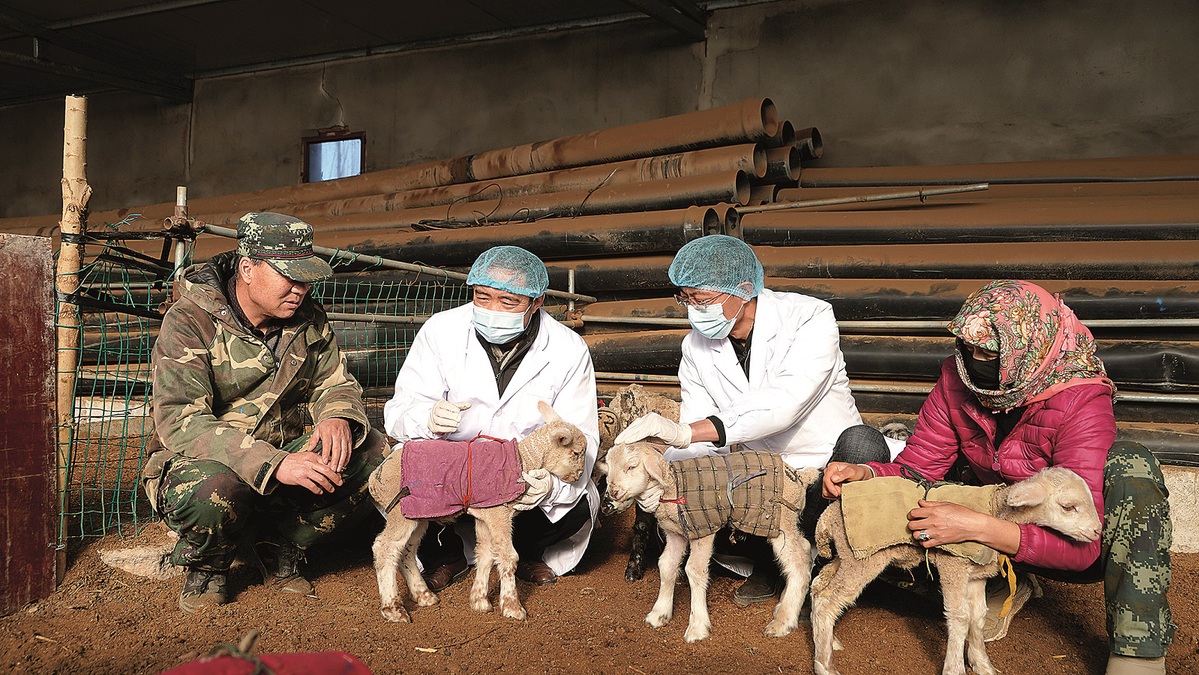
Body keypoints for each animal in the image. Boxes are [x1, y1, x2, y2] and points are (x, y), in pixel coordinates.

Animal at [366, 398, 587, 628]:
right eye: (576, 453)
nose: (579, 475)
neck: (524, 460)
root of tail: (374, 479)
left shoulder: (485, 515)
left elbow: (486, 553)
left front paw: (479, 601)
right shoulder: (499, 513)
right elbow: (508, 556)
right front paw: (512, 607)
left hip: (417, 515)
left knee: (406, 550)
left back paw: (424, 595)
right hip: (399, 510)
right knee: (385, 547)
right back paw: (393, 609)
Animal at [604, 443, 820, 642]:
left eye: (631, 466)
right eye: (608, 468)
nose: (612, 493)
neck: (673, 487)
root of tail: (800, 476)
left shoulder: (703, 530)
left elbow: (694, 570)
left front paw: (697, 626)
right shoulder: (676, 533)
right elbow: (666, 565)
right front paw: (659, 613)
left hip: (781, 520)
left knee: (799, 559)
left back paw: (783, 621)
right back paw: (783, 606)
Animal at [810, 467, 1098, 675]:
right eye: (1068, 507)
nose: (1097, 532)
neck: (996, 512)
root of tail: (828, 515)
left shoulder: (975, 576)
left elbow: (978, 617)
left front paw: (983, 665)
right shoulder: (953, 567)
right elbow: (959, 617)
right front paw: (955, 668)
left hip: (844, 557)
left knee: (818, 588)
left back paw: (827, 641)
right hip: (862, 559)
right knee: (828, 601)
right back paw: (825, 665)